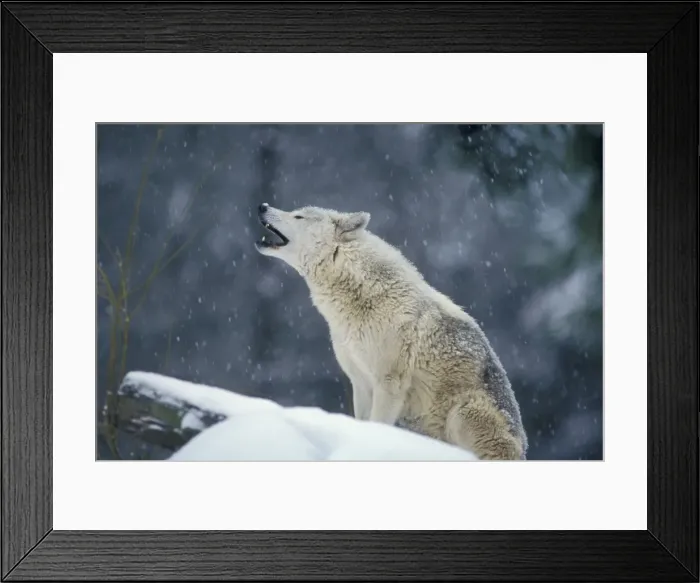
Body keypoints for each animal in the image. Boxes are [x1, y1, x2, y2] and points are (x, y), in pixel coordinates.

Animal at [254, 202, 528, 460]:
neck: (363, 294)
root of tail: (522, 453)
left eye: (298, 216)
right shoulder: (360, 383)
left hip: (463, 412)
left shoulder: (389, 383)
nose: (263, 206)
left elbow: (377, 423)